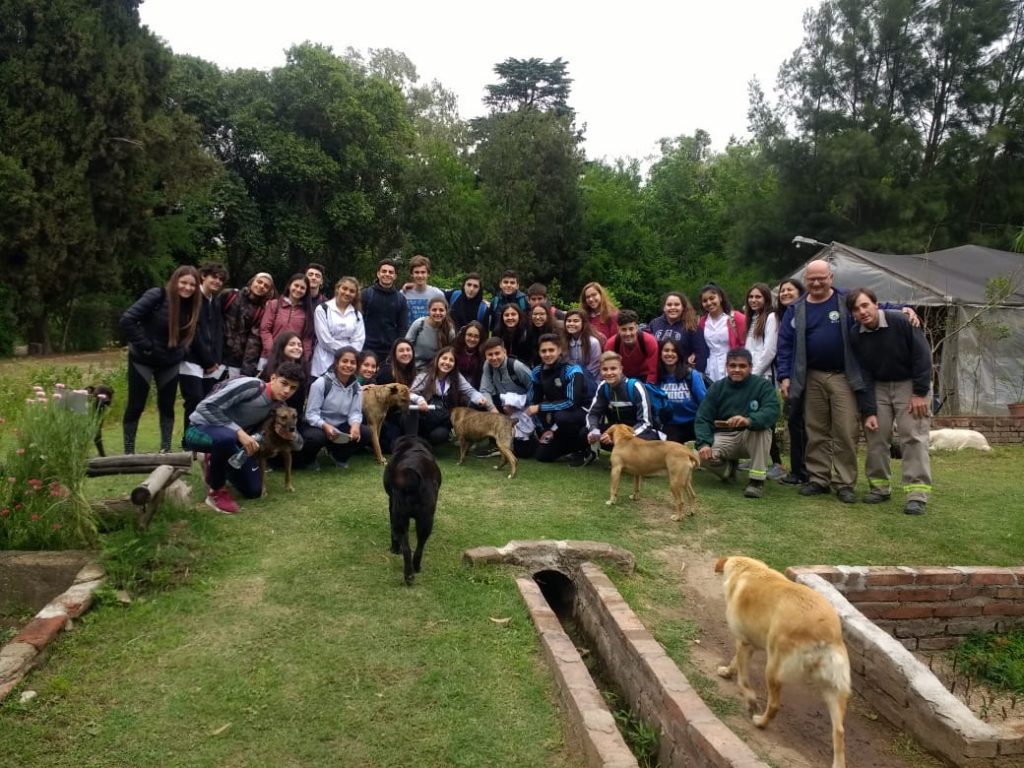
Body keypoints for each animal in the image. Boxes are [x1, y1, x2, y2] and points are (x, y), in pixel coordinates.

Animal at [380, 436, 436, 585]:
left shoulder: (391, 506)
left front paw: (394, 549)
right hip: (426, 519)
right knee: (420, 546)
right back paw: (415, 568)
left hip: (400, 517)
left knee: (406, 548)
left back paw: (409, 575)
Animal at [716, 557, 851, 768]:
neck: (750, 571)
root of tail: (826, 632)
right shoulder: (748, 643)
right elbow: (735, 661)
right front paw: (727, 671)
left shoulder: (743, 642)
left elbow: (743, 681)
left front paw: (750, 699)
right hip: (834, 690)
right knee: (839, 731)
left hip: (773, 669)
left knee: (774, 705)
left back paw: (760, 722)